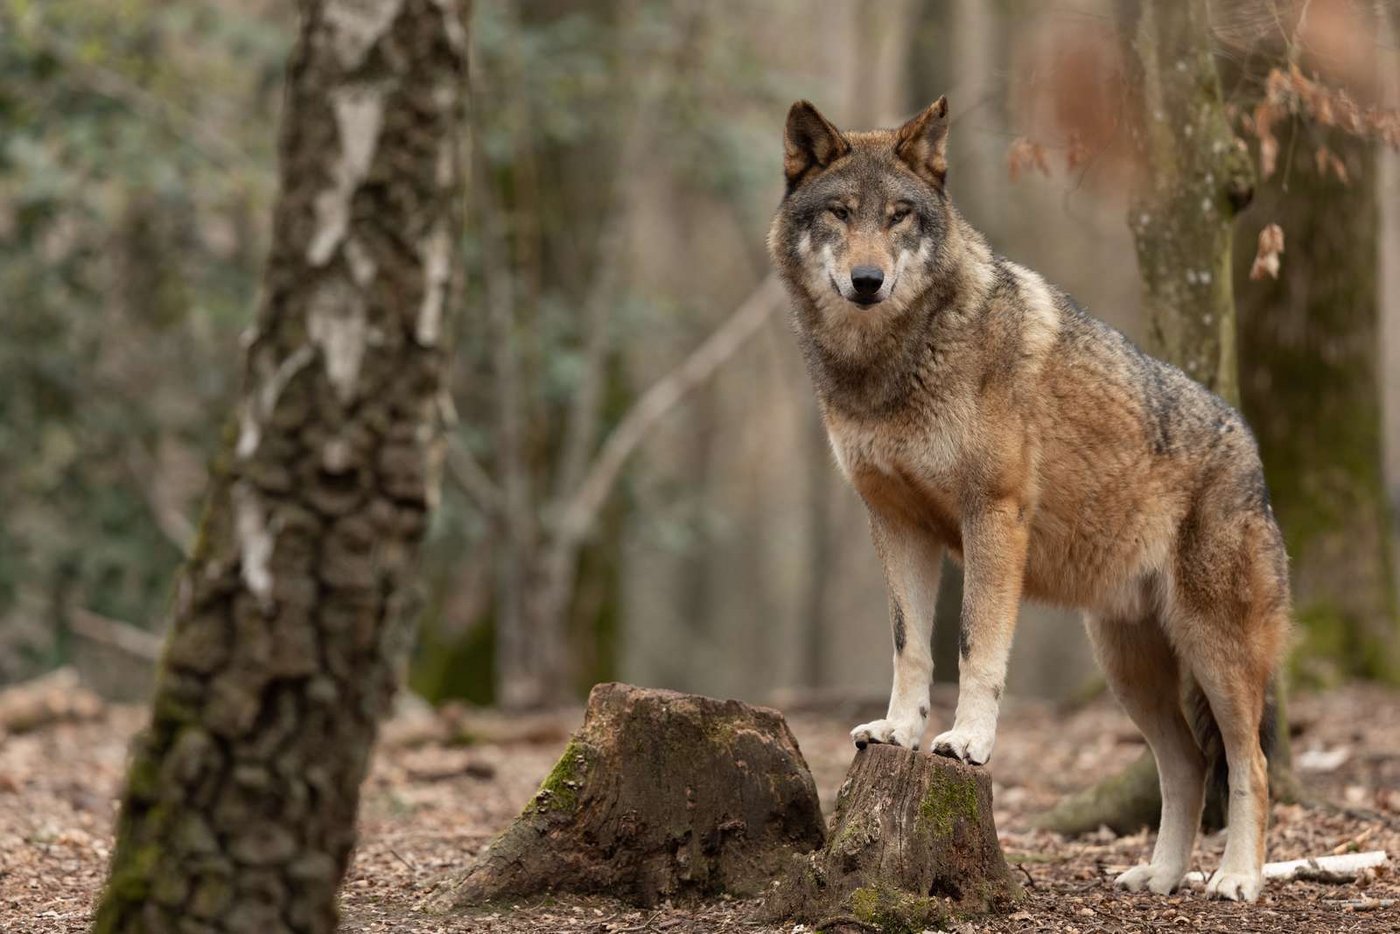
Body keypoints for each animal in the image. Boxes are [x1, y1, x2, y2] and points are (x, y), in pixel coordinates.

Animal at [767, 97, 1289, 903]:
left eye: (898, 216)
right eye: (840, 213)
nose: (867, 279)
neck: (890, 364)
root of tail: (1250, 445)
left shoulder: (993, 517)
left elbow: (975, 645)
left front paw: (967, 742)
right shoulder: (895, 524)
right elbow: (911, 648)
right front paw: (897, 732)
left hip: (1214, 652)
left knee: (1249, 766)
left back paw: (1235, 880)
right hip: (1128, 668)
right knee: (1187, 765)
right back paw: (1161, 877)